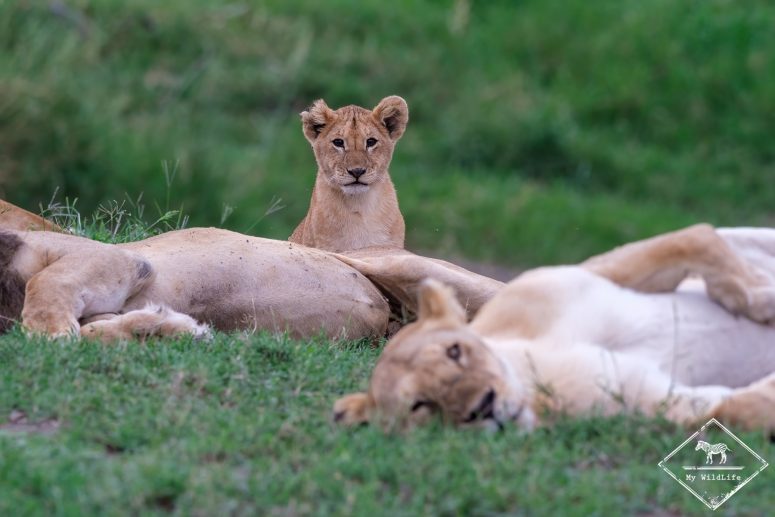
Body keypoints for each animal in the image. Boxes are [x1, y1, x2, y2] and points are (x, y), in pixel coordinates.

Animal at [334, 224, 775, 432]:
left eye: (455, 351)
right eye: (420, 406)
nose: (484, 406)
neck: (532, 369)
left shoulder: (583, 275)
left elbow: (697, 238)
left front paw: (762, 300)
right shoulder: (663, 401)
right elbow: (739, 410)